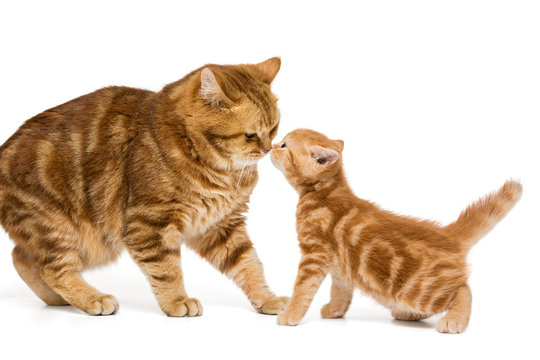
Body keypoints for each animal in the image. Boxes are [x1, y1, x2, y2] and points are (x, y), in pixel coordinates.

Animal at [0, 57, 288, 316]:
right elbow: (167, 270)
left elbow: (249, 265)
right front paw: (177, 302)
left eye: (274, 129)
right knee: (52, 269)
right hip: (58, 228)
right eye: (249, 135)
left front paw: (267, 298)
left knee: (22, 258)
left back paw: (60, 300)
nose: (267, 149)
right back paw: (92, 299)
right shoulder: (149, 223)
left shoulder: (222, 225)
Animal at [272, 129, 520, 332]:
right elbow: (340, 290)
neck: (323, 193)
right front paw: (335, 309)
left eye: (284, 145)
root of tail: (449, 235)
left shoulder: (314, 255)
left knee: (463, 290)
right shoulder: (340, 267)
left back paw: (454, 320)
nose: (272, 145)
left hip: (419, 291)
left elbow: (302, 288)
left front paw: (290, 314)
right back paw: (408, 314)